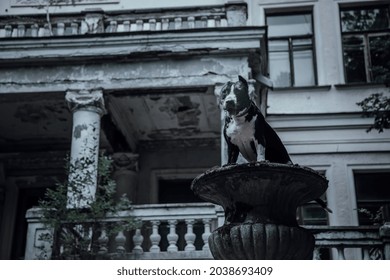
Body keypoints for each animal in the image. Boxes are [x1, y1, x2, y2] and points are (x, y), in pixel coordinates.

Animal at [219, 76, 332, 212]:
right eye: (224, 92)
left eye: (238, 91)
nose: (229, 101)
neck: (238, 119)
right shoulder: (232, 145)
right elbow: (230, 158)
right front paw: (228, 165)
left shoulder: (259, 138)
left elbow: (260, 152)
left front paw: (261, 162)